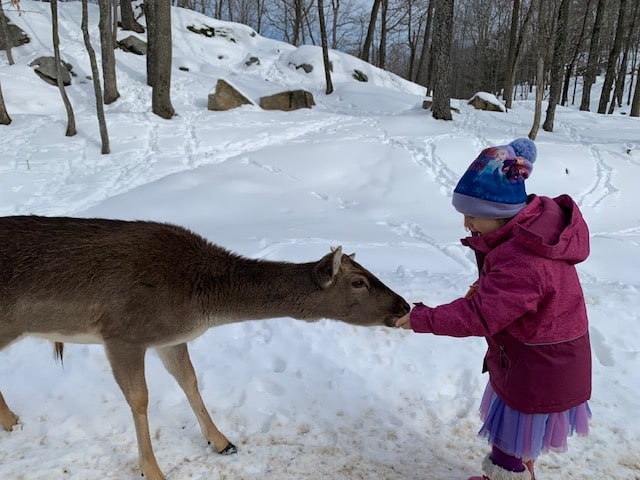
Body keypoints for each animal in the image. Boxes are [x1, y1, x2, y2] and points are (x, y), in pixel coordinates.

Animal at [0, 216, 410, 478]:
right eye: (358, 282)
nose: (404, 306)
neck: (200, 306)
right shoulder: (123, 332)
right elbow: (140, 399)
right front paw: (152, 470)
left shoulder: (169, 338)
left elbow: (190, 380)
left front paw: (222, 441)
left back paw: (12, 421)